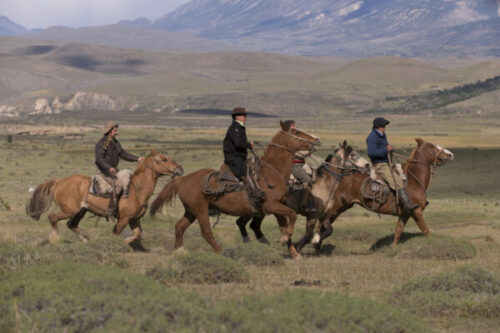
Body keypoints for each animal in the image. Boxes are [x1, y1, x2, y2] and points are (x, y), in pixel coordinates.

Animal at [24, 149, 182, 245]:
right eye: (164, 159)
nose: (180, 169)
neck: (137, 190)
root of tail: (58, 181)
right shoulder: (123, 219)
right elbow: (116, 233)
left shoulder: (134, 220)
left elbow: (137, 234)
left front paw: (127, 241)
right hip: (69, 210)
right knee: (52, 217)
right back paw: (56, 238)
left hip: (80, 211)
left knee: (71, 225)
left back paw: (85, 240)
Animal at [149, 120, 320, 258]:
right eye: (296, 132)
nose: (317, 139)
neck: (271, 171)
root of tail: (182, 179)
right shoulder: (271, 205)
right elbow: (292, 215)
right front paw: (284, 240)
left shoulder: (277, 208)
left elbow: (286, 224)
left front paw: (294, 253)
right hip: (200, 210)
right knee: (206, 232)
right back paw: (221, 252)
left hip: (191, 211)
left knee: (179, 227)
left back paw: (179, 251)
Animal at [234, 141, 372, 253]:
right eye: (352, 154)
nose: (367, 165)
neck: (324, 183)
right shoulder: (312, 214)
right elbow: (307, 234)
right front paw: (299, 246)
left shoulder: (323, 214)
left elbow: (329, 230)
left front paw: (313, 241)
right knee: (246, 224)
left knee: (248, 224)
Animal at [312, 136, 454, 250]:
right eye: (431, 146)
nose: (450, 155)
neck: (414, 180)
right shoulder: (417, 211)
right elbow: (426, 231)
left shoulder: (405, 214)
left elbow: (398, 232)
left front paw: (393, 248)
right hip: (336, 207)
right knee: (321, 224)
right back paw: (316, 245)